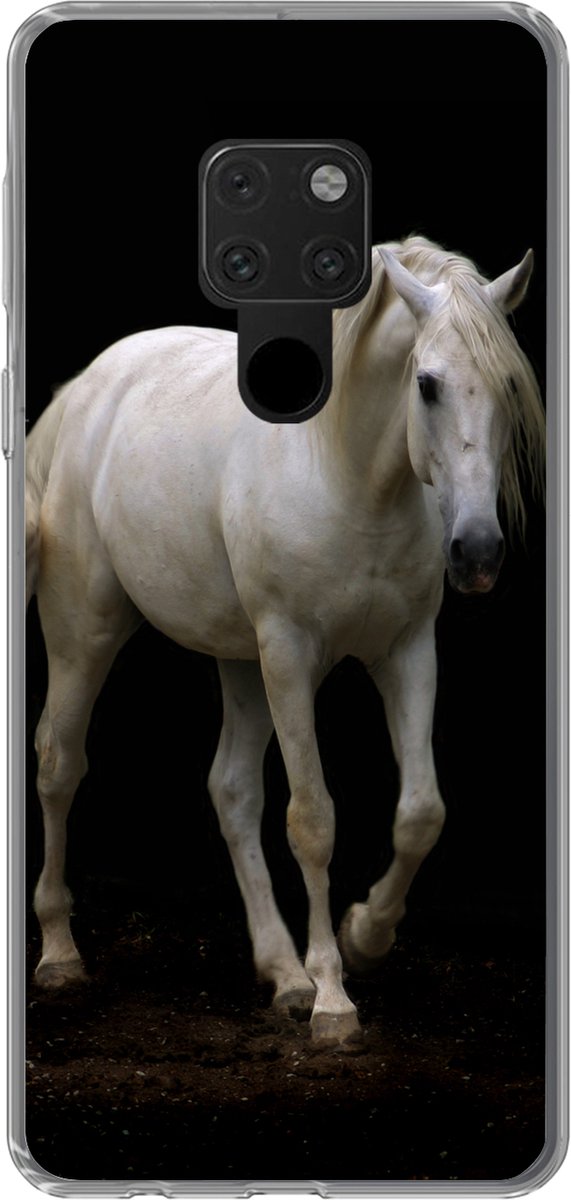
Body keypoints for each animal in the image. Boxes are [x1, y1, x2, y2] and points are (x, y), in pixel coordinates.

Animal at [26, 236, 545, 1049]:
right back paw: (59, 953)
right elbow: (313, 820)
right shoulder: (292, 656)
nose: (478, 553)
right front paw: (334, 998)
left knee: (232, 789)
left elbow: (420, 811)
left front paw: (366, 936)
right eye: (426, 384)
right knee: (59, 763)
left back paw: (282, 971)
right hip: (89, 629)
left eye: (511, 387)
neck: (346, 474)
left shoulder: (406, 652)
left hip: (240, 661)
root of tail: (85, 389)